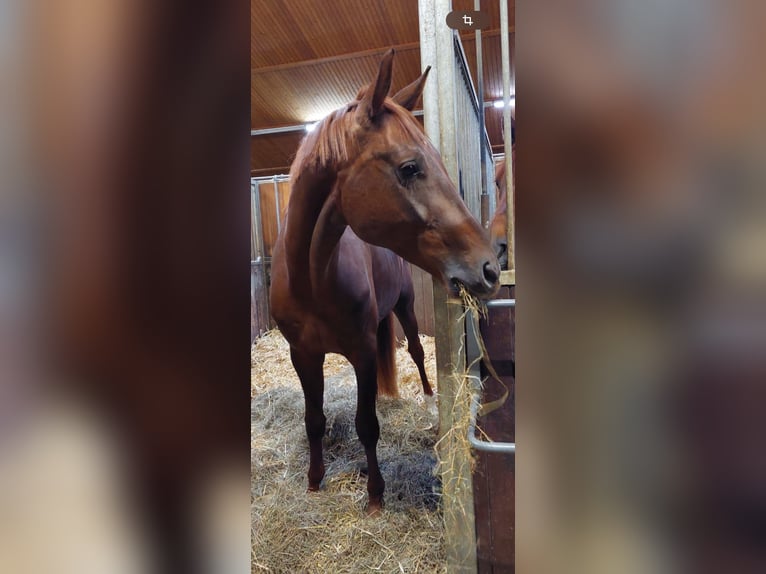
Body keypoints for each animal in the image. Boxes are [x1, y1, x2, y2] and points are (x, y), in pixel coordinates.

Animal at [269, 49, 500, 513]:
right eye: (409, 167)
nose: (489, 268)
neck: (312, 280)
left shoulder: (361, 351)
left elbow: (367, 424)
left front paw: (375, 494)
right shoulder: (303, 355)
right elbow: (314, 419)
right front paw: (314, 480)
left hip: (405, 308)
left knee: (415, 352)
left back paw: (429, 404)